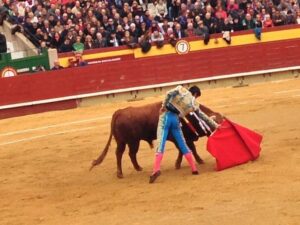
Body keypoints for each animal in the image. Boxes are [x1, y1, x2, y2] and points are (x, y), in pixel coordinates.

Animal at [90, 101, 221, 178]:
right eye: (215, 124)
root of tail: (119, 112)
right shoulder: (180, 136)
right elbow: (187, 148)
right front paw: (195, 161)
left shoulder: (184, 137)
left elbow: (186, 149)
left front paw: (182, 163)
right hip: (128, 141)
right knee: (120, 154)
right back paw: (120, 173)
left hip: (131, 142)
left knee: (130, 154)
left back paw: (138, 168)